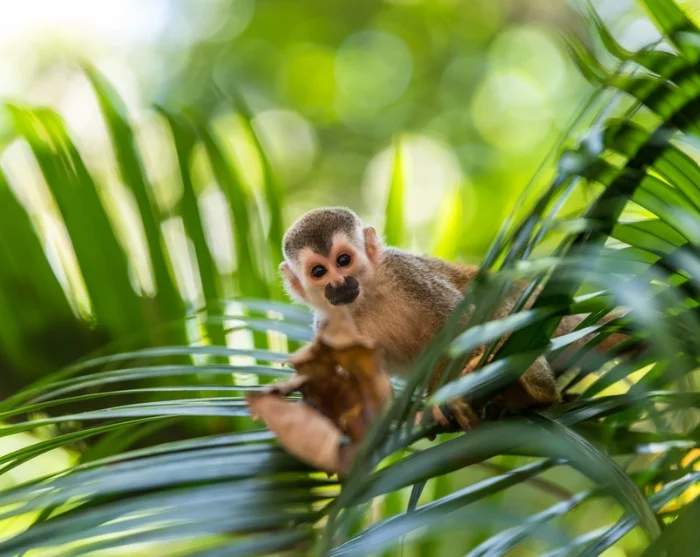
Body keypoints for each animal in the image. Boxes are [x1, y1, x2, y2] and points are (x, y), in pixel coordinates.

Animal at [279, 207, 628, 431]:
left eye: (343, 260)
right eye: (319, 272)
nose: (339, 284)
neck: (365, 299)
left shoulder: (407, 273)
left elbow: (461, 323)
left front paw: (442, 396)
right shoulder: (327, 326)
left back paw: (535, 392)